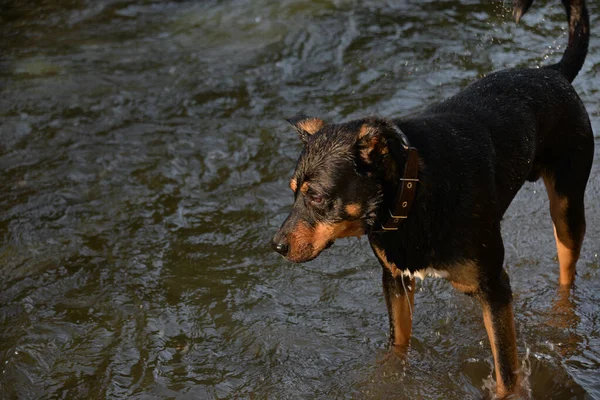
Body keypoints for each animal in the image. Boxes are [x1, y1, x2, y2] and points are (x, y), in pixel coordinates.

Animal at [272, 0, 596, 396]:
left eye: (316, 197)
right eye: (292, 192)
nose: (276, 246)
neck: (411, 196)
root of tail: (553, 72)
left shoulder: (495, 286)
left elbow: (506, 370)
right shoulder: (394, 279)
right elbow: (398, 345)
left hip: (567, 207)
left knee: (567, 273)